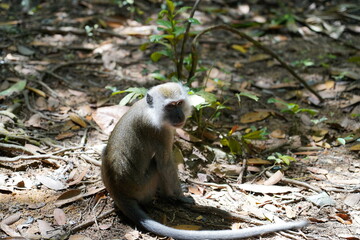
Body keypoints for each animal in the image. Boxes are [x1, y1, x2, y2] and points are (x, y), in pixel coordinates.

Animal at [100, 81, 306, 239]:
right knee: (158, 166)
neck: (150, 109)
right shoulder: (161, 132)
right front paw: (180, 197)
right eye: (170, 106)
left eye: (179, 103)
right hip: (144, 188)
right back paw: (167, 196)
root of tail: (119, 193)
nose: (179, 115)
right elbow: (165, 164)